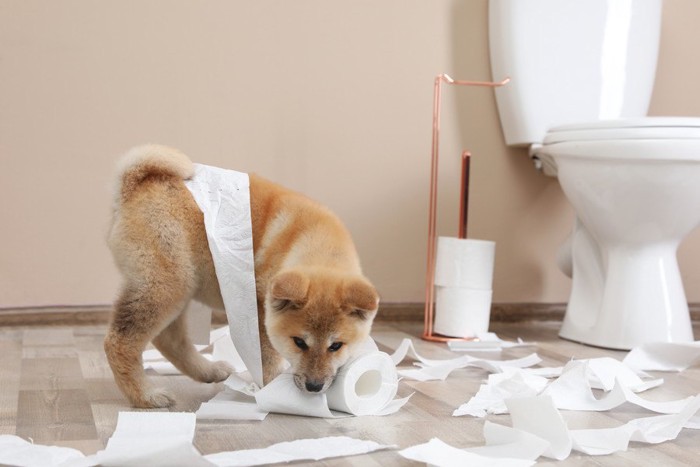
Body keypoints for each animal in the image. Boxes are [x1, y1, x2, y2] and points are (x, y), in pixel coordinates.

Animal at [104, 144, 380, 408]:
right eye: (299, 342)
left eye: (336, 346)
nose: (314, 386)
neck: (310, 241)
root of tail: (134, 185)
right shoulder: (259, 312)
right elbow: (268, 360)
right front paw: (273, 389)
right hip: (167, 286)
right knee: (121, 341)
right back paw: (145, 395)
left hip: (179, 288)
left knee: (169, 339)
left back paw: (208, 371)